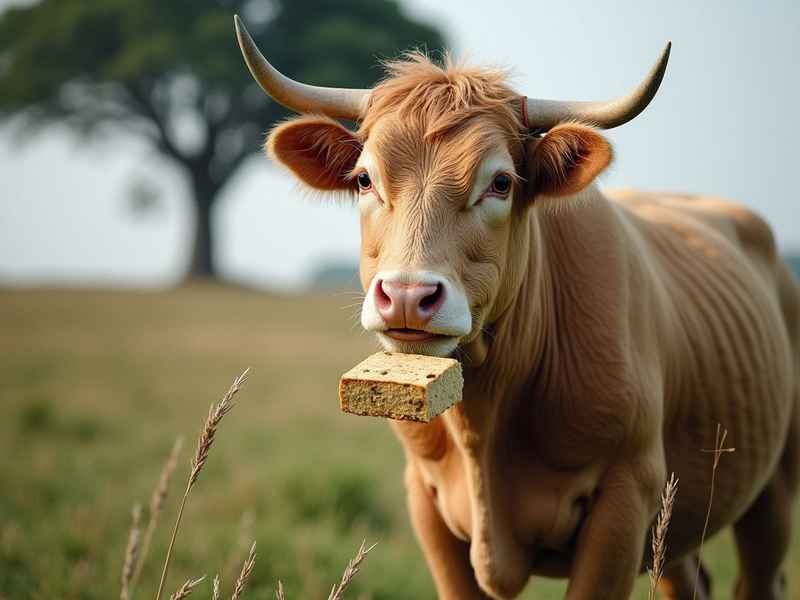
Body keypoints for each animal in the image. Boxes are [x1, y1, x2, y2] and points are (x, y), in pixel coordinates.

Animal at [234, 16, 800, 600]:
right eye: (365, 179)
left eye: (501, 183)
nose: (409, 296)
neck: (486, 423)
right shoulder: (428, 508)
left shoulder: (624, 506)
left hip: (775, 490)